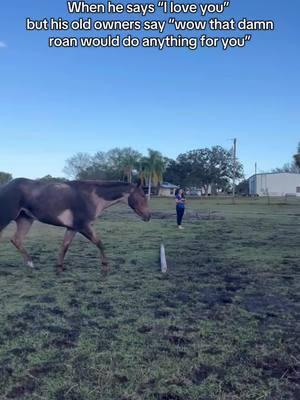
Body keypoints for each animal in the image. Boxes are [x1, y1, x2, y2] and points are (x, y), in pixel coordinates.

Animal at [0, 179, 150, 270]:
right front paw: (105, 264)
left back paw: (30, 264)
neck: (92, 197)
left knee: (16, 240)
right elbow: (99, 243)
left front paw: (59, 267)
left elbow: (64, 247)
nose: (148, 216)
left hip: (25, 220)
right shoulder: (84, 227)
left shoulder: (72, 228)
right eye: (142, 196)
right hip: (7, 218)